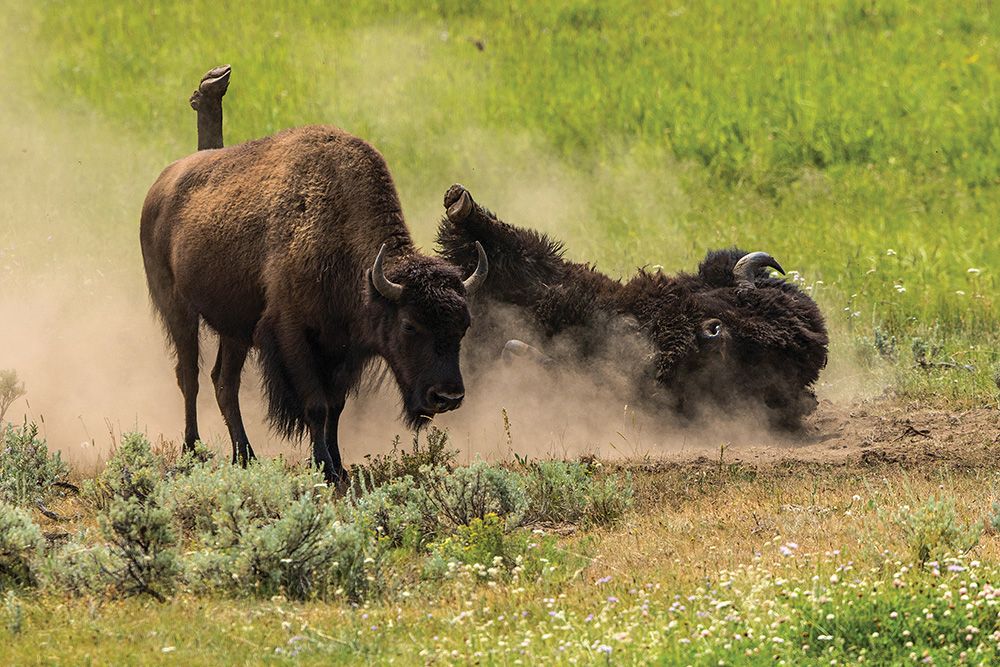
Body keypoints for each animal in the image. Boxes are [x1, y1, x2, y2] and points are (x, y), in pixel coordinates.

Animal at [138, 75, 488, 482]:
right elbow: (315, 405)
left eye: (464, 326)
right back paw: (194, 450)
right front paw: (323, 467)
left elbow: (335, 406)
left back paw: (245, 456)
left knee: (224, 383)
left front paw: (338, 466)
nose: (447, 397)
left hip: (234, 328)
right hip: (177, 308)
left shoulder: (346, 349)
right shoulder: (292, 335)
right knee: (189, 375)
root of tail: (161, 184)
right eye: (409, 325)